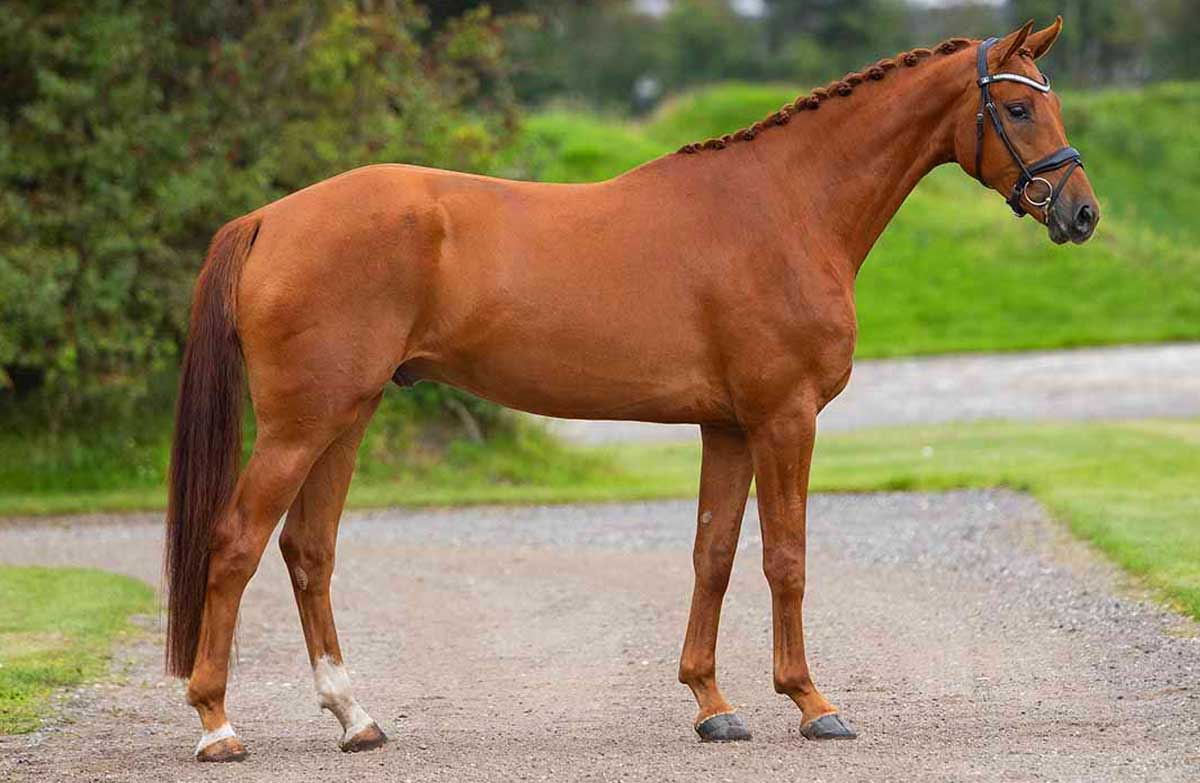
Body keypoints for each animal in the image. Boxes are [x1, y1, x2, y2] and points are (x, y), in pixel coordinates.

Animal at [164, 17, 1098, 761]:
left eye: (1049, 103)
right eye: (1019, 109)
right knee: (237, 541)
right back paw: (217, 724)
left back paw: (355, 717)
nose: (1080, 213)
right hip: (302, 423)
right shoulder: (784, 417)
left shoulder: (727, 426)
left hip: (347, 414)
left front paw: (714, 706)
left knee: (308, 550)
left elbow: (713, 554)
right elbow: (786, 559)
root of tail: (269, 219)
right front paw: (812, 702)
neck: (786, 207)